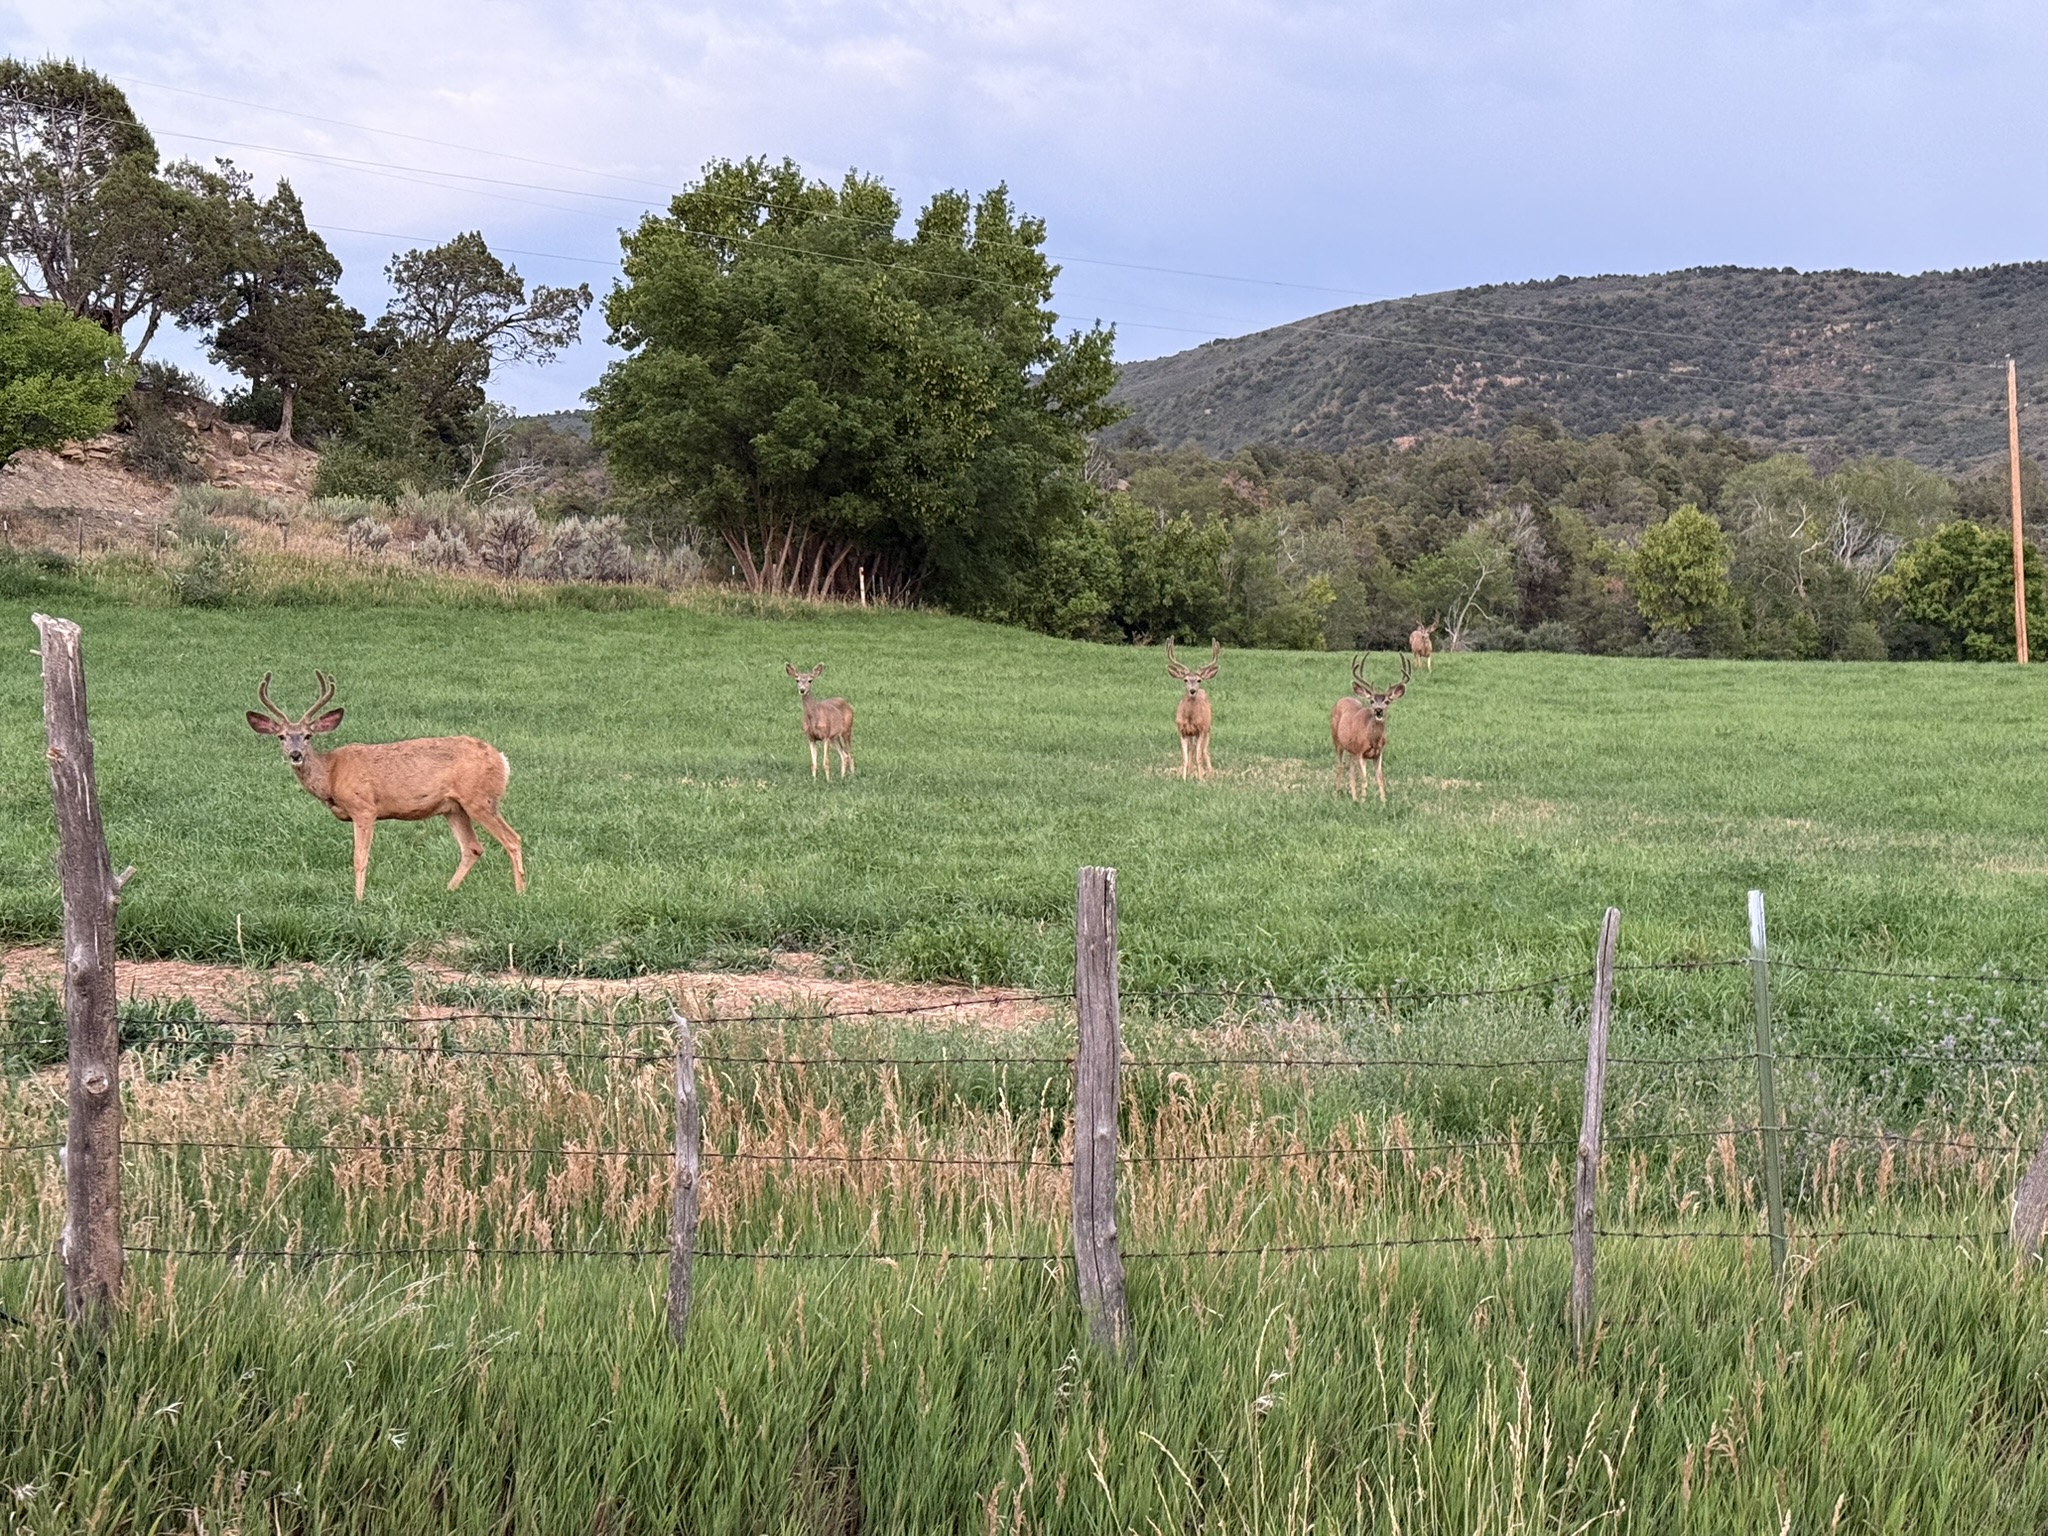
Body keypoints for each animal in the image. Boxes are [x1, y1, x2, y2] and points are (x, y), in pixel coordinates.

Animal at [246, 672, 526, 901]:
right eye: (281, 736)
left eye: (307, 735)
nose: (295, 754)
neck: (331, 775)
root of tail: (502, 759)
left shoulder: (364, 808)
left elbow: (359, 858)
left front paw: (358, 900)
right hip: (454, 807)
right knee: (472, 847)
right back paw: (448, 890)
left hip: (479, 799)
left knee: (512, 839)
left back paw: (520, 893)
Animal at [1165, 638, 1220, 780]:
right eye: (1185, 679)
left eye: (1199, 680)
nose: (1192, 691)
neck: (1190, 718)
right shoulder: (1182, 731)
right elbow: (1185, 757)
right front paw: (1184, 778)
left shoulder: (1201, 730)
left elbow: (1199, 756)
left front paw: (1201, 779)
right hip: (1192, 735)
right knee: (1192, 750)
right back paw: (1190, 773)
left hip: (1208, 729)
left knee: (1204, 751)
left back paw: (1210, 773)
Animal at [1331, 653, 1410, 803]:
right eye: (1372, 700)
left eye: (1387, 701)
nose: (1378, 710)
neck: (1372, 738)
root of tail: (1341, 700)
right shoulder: (1360, 752)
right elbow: (1365, 779)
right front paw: (1363, 801)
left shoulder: (1378, 754)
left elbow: (1380, 779)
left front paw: (1383, 801)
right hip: (1337, 742)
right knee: (1340, 766)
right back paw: (1337, 796)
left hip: (1351, 749)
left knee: (1350, 769)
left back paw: (1354, 798)